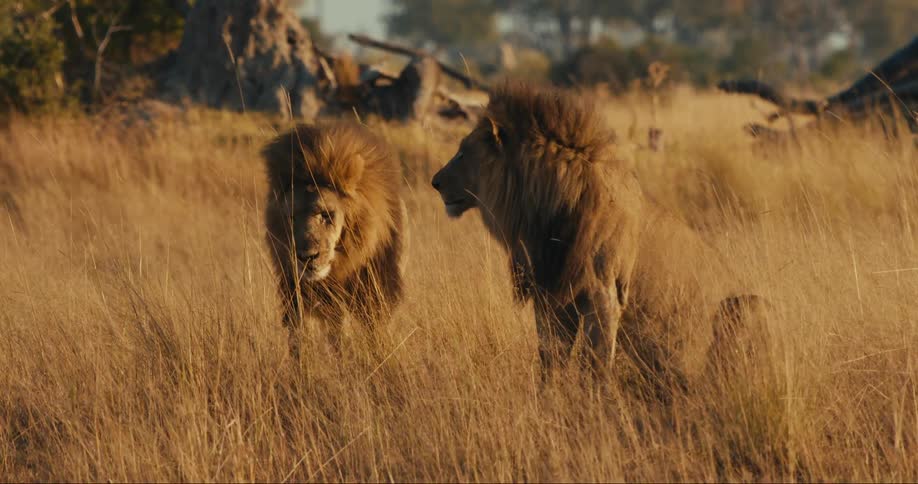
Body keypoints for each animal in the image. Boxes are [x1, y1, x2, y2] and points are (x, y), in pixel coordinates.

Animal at [263, 122, 405, 357]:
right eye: (292, 217)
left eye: (326, 215)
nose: (306, 256)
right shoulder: (299, 296)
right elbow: (308, 339)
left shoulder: (377, 293)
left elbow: (374, 335)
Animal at [431, 82, 764, 393]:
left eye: (462, 152)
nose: (435, 182)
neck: (542, 208)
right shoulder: (553, 293)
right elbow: (550, 358)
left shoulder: (604, 292)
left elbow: (595, 365)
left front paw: (597, 406)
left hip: (749, 305)